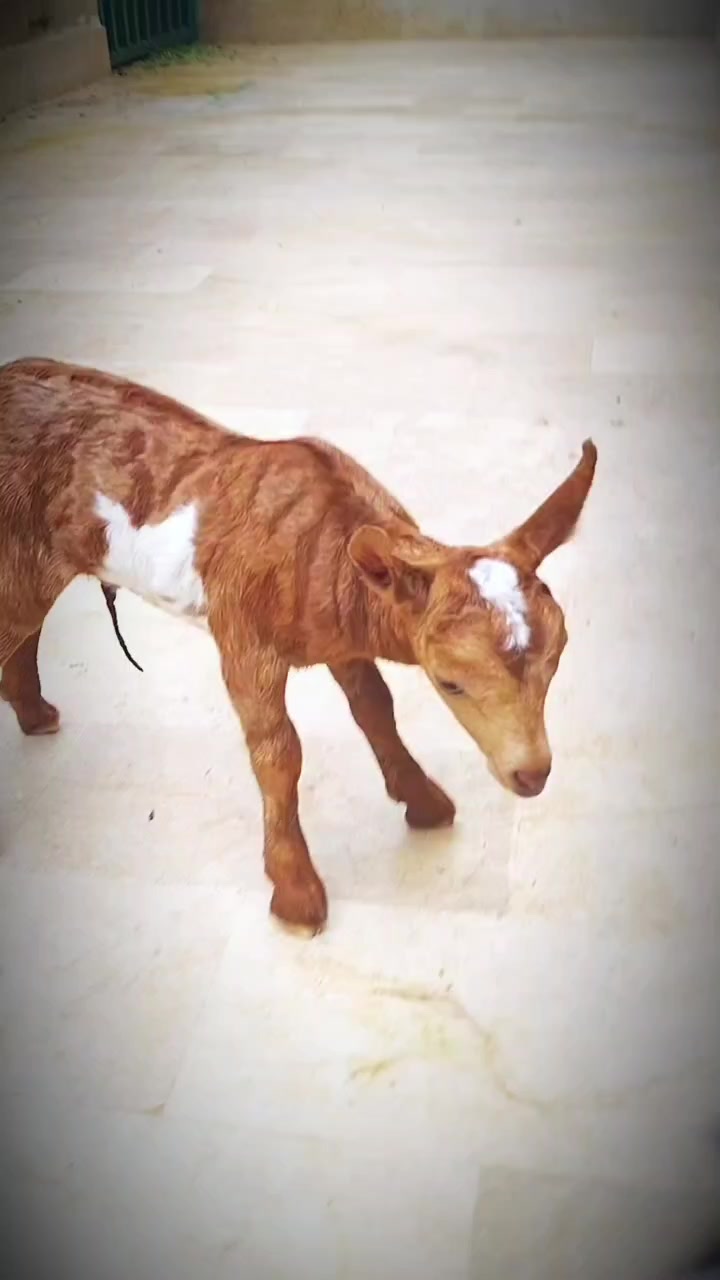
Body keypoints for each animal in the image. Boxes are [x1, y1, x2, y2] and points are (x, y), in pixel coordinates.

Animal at [0, 358, 597, 933]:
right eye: (450, 682)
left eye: (557, 661)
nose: (532, 775)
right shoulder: (243, 638)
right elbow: (278, 751)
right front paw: (296, 893)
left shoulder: (342, 641)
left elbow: (375, 707)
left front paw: (423, 800)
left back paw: (36, 714)